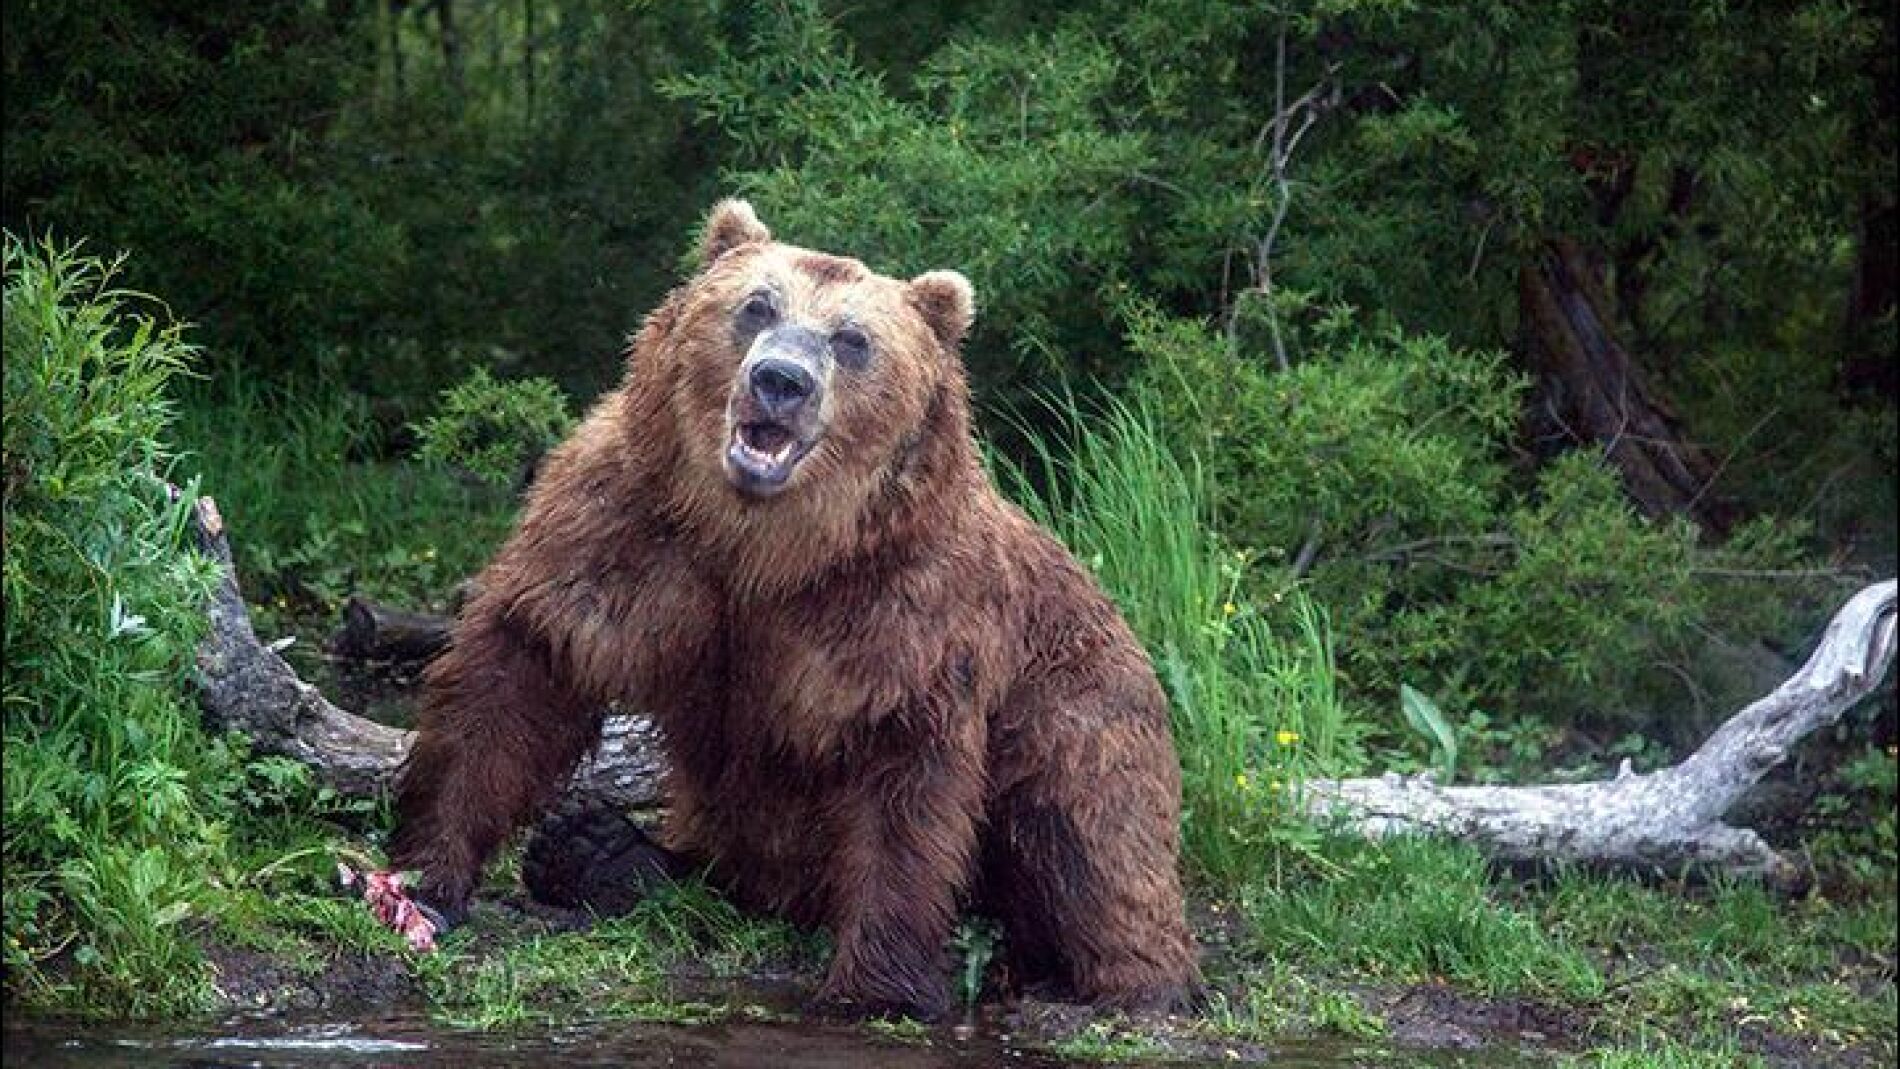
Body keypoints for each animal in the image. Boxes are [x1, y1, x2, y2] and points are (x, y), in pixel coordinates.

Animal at [389, 201, 1200, 1017]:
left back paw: (1122, 981)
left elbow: (903, 772)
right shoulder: (628, 526)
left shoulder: (902, 603)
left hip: (1078, 707)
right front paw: (430, 874)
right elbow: (524, 667)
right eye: (756, 305)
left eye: (853, 339)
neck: (764, 545)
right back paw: (602, 851)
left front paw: (876, 987)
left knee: (1086, 833)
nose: (780, 380)